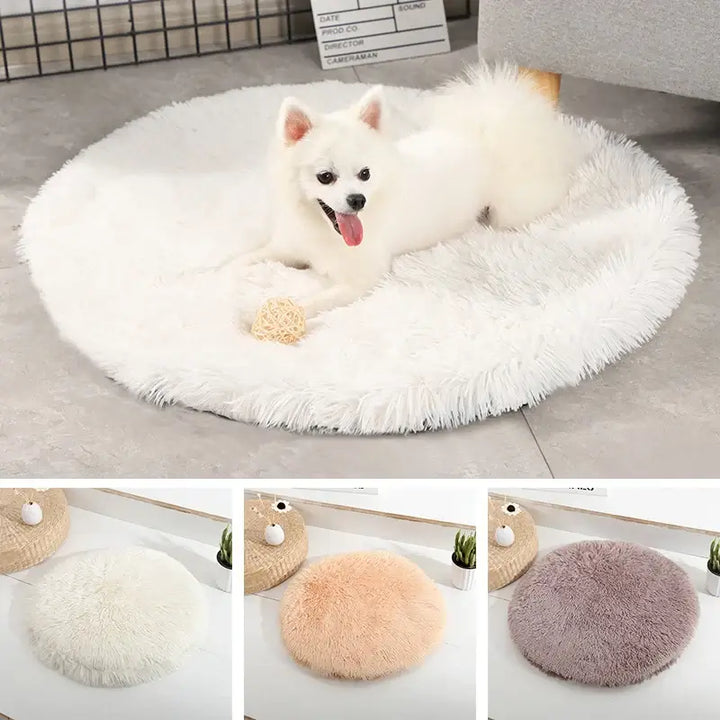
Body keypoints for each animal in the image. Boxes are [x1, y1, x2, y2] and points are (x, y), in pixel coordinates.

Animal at [242, 64, 580, 318]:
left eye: (365, 174)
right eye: (325, 177)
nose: (357, 200)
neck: (321, 229)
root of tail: (481, 135)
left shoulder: (362, 279)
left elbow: (312, 302)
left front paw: (266, 313)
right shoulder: (287, 246)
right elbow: (242, 260)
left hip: (511, 209)